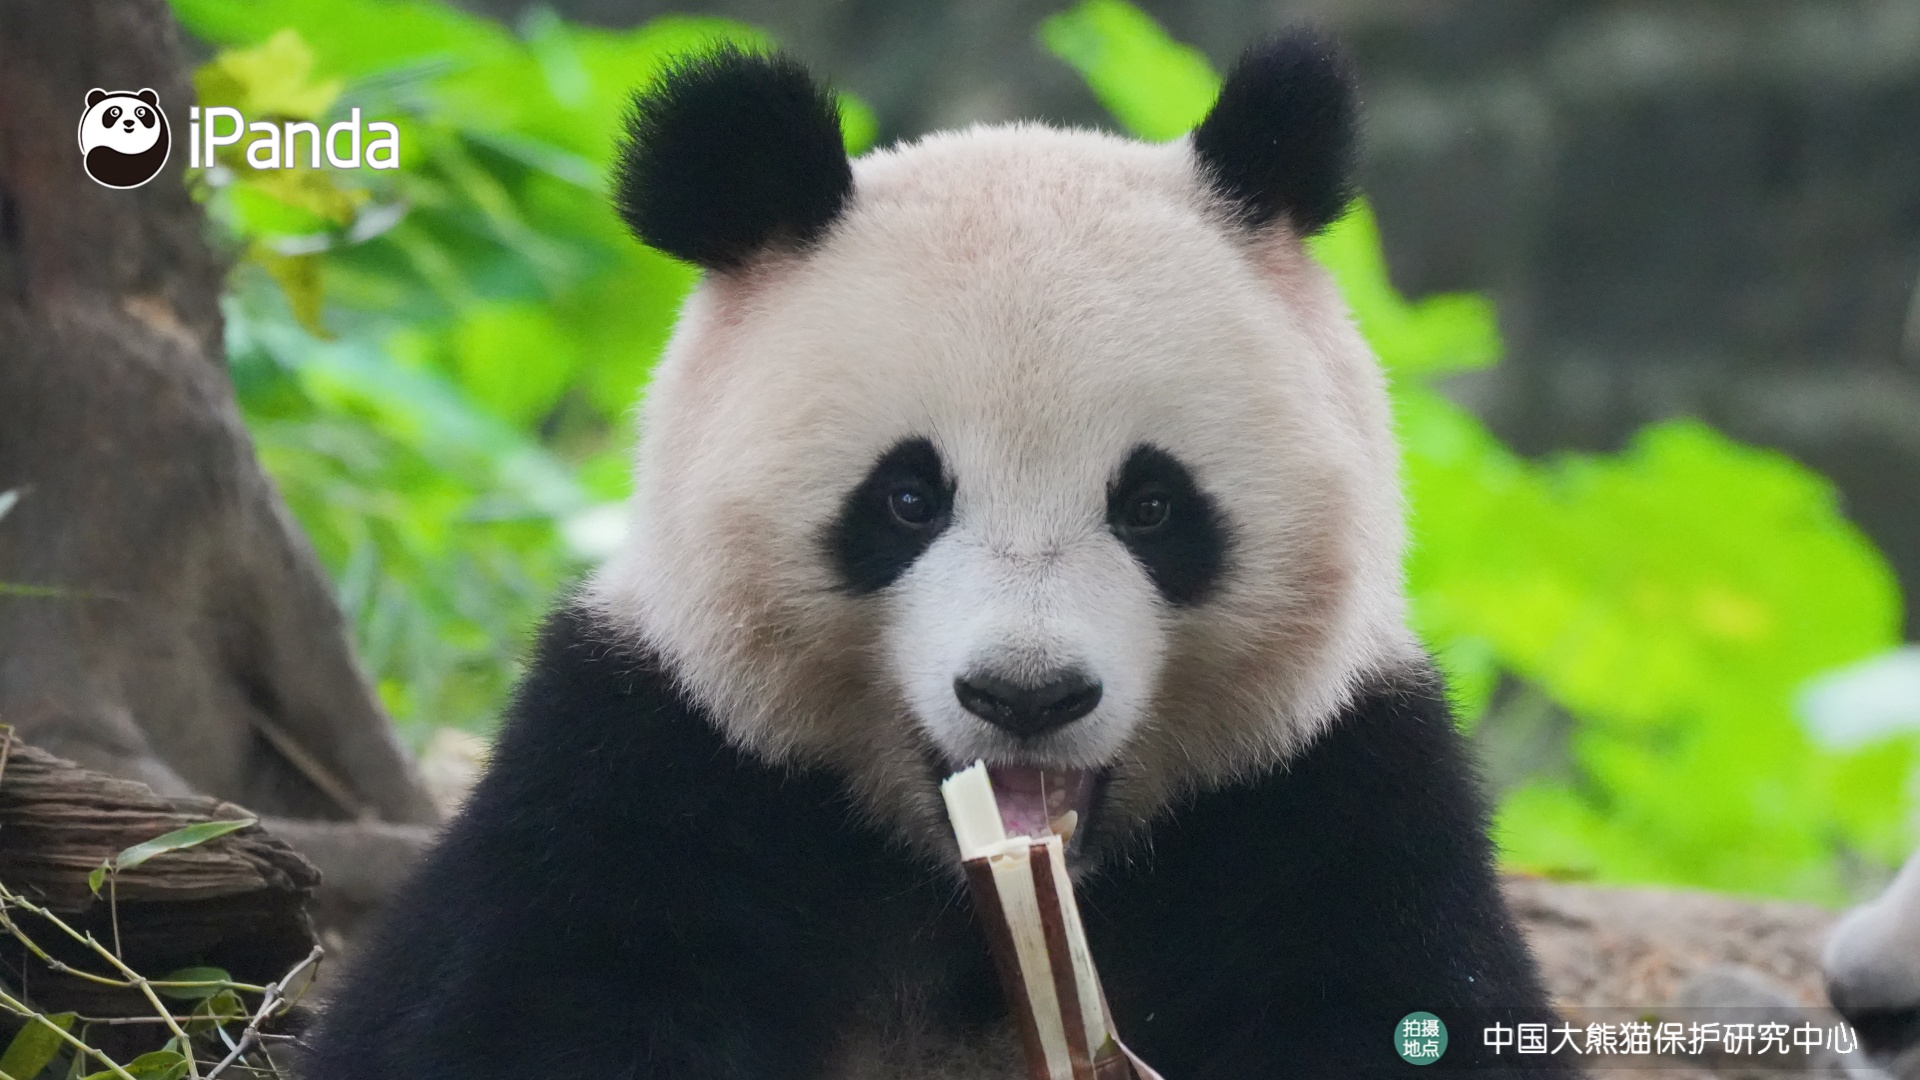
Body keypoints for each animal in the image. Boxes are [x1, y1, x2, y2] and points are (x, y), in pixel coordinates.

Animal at [304, 34, 1577, 1080]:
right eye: (907, 499)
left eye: (1153, 505)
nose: (1027, 694)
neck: (983, 900)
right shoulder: (652, 761)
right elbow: (528, 998)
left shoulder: (1328, 796)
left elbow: (1390, 994)